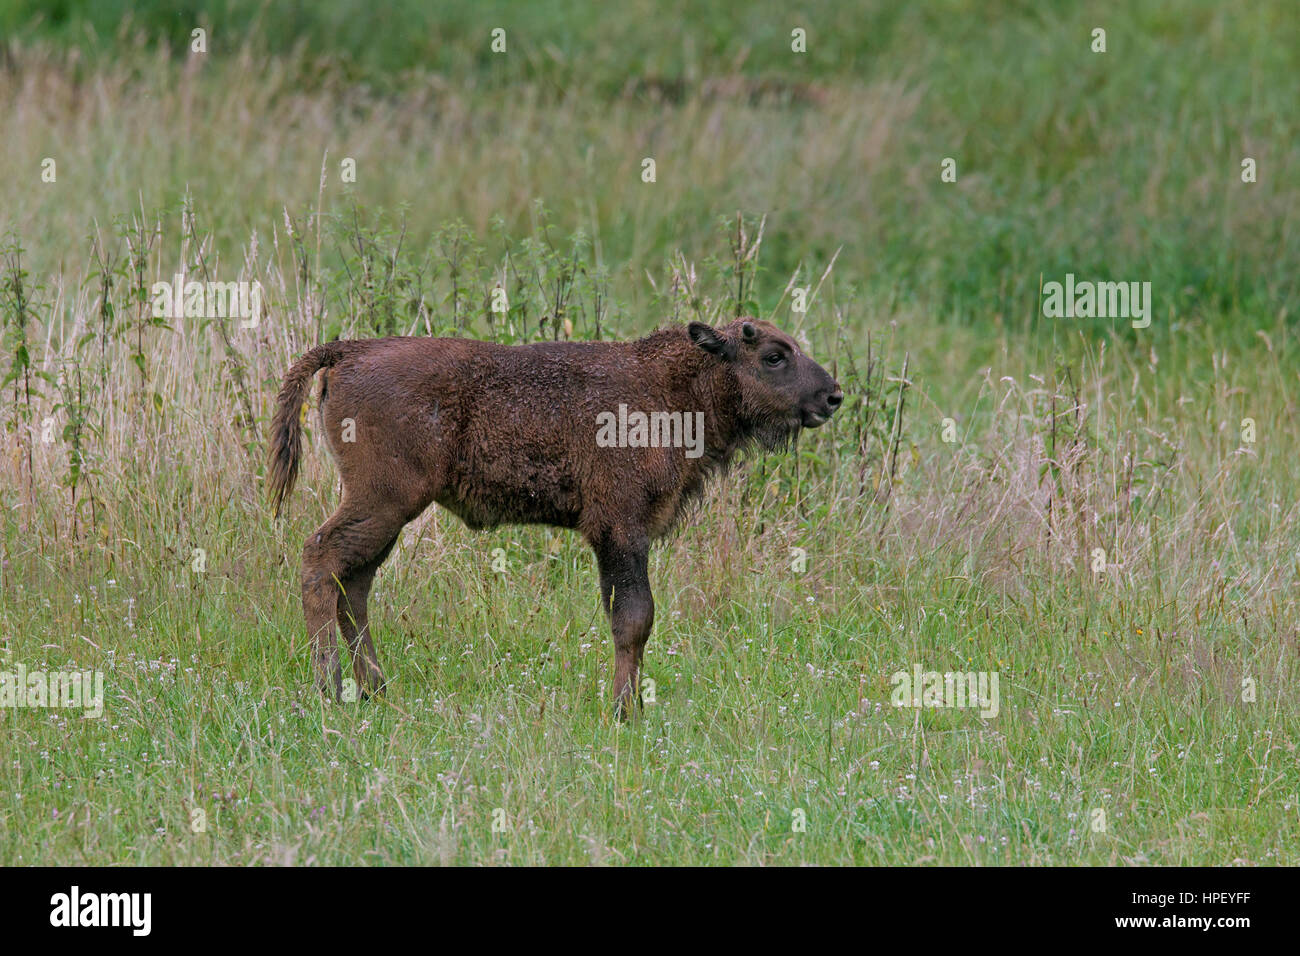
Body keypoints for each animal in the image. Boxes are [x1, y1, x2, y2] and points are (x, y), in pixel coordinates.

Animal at [269, 319, 847, 717]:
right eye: (773, 356)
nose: (832, 396)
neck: (676, 387)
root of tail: (349, 349)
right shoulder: (620, 530)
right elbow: (633, 619)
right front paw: (624, 712)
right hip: (381, 502)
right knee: (321, 559)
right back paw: (332, 689)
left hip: (386, 514)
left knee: (354, 586)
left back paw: (376, 689)